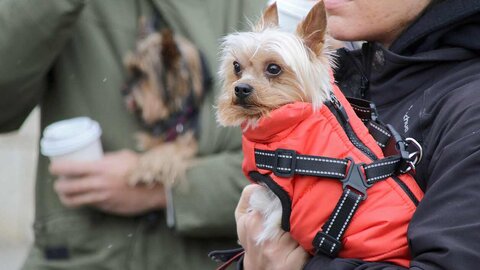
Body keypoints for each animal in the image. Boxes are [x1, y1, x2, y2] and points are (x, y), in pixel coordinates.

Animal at [122, 24, 208, 186]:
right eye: (130, 70)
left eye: (141, 74)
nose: (122, 91)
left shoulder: (187, 141)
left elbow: (165, 151)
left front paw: (144, 168)